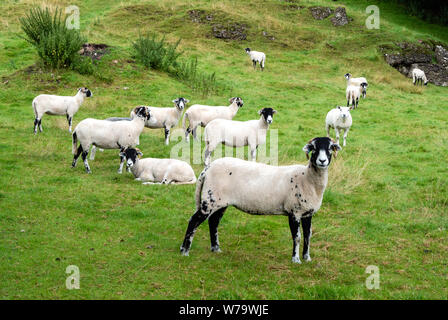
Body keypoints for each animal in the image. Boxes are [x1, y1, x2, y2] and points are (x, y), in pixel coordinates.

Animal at [180, 136, 342, 264]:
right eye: (314, 148)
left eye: (330, 148)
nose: (322, 161)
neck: (307, 179)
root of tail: (207, 169)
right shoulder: (294, 212)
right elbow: (297, 237)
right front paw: (296, 260)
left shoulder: (308, 213)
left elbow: (308, 236)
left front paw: (307, 258)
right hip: (209, 200)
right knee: (194, 221)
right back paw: (184, 251)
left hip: (220, 202)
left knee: (213, 222)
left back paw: (216, 248)